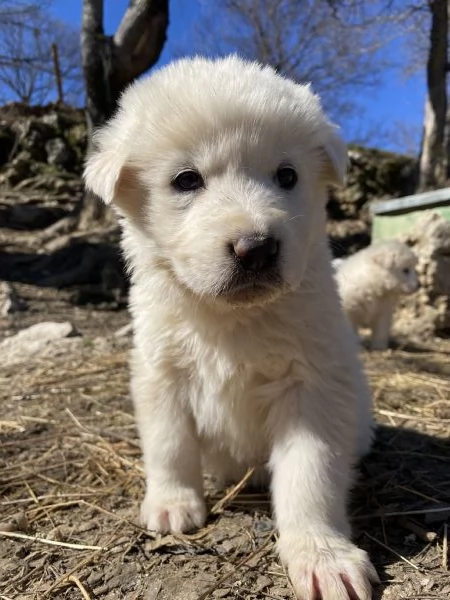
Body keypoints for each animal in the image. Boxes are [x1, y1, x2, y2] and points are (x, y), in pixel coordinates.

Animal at [85, 56, 380, 600]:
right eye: (186, 180)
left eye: (287, 175)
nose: (257, 248)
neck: (231, 317)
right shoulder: (160, 371)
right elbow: (169, 445)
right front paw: (172, 505)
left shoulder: (311, 385)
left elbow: (310, 474)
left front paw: (323, 556)